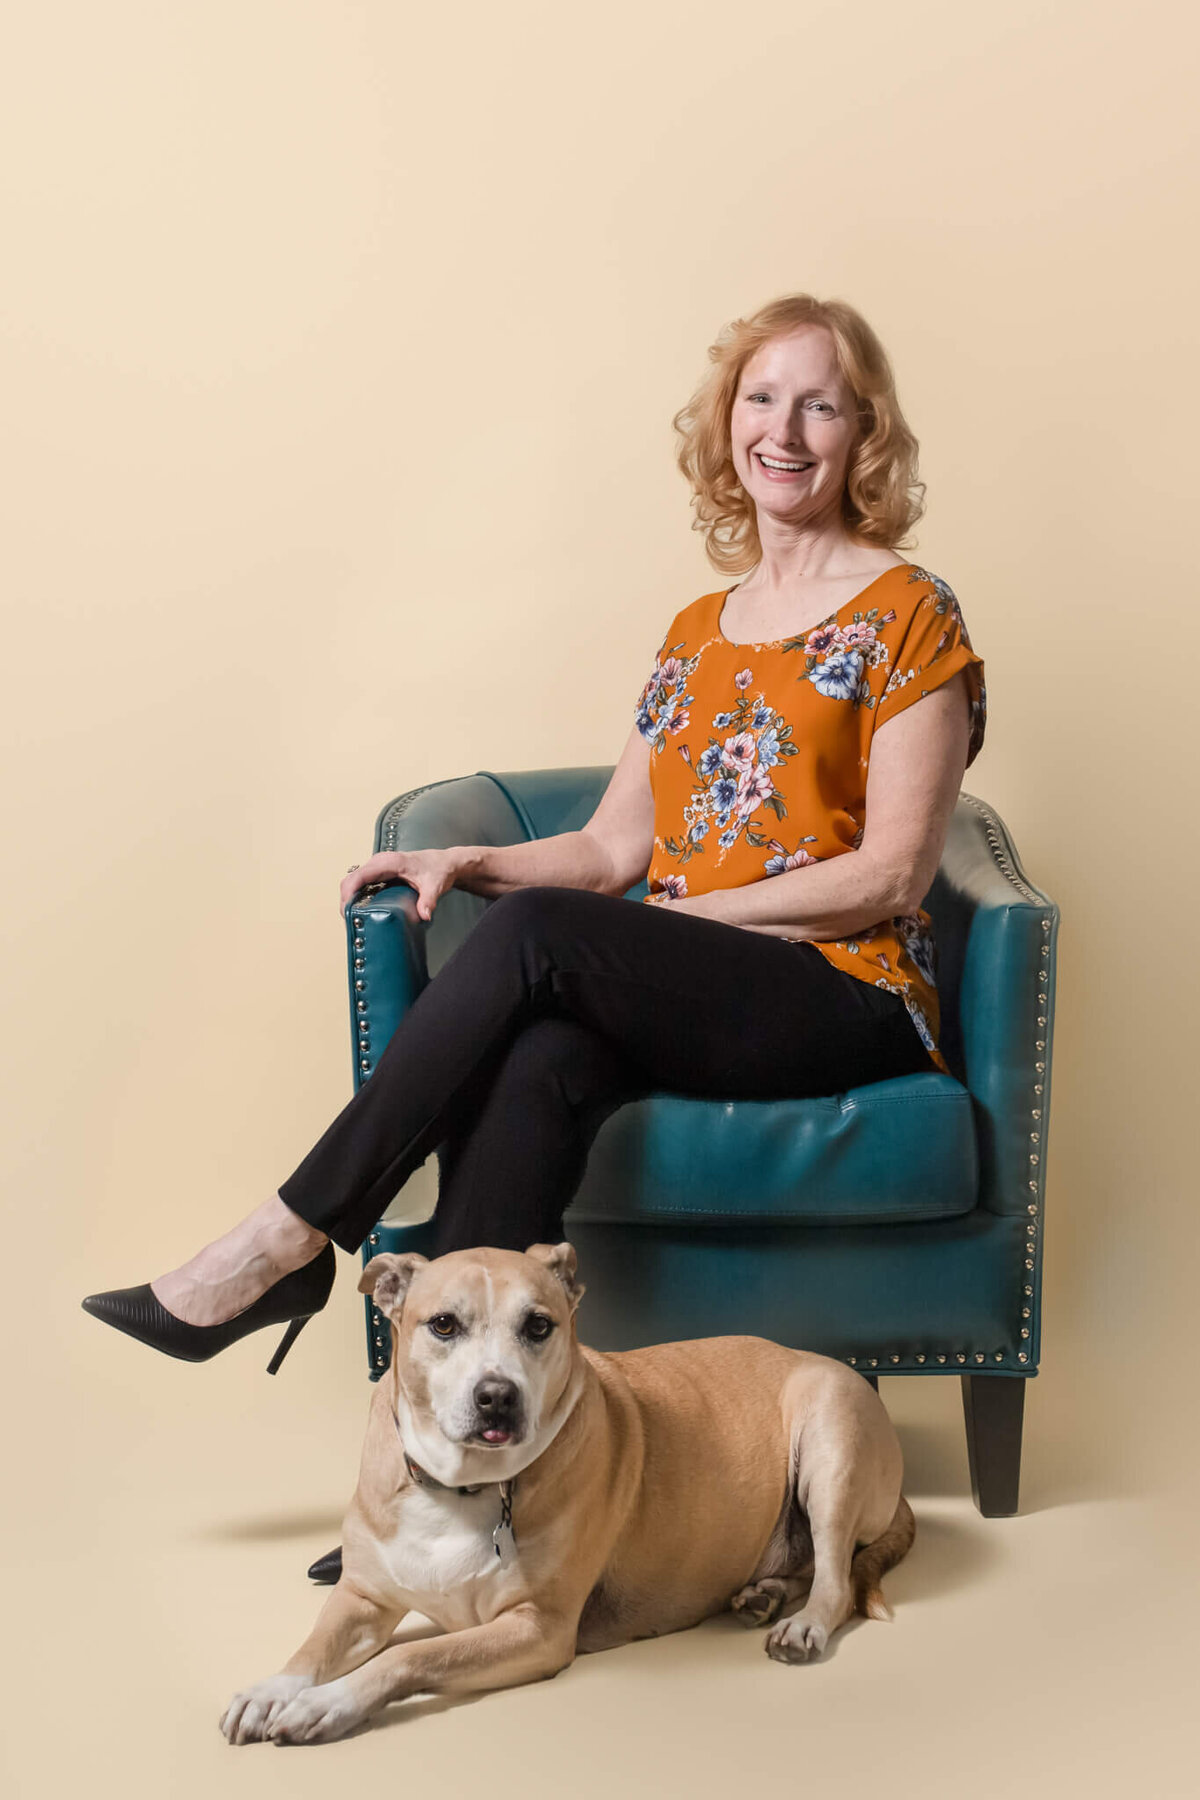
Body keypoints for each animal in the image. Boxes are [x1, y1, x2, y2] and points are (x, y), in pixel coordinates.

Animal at [218, 1238, 910, 1742]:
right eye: (442, 1325)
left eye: (538, 1326)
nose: (497, 1396)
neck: (462, 1487)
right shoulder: (362, 1597)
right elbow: (313, 1645)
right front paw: (269, 1691)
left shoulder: (537, 1629)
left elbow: (411, 1657)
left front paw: (324, 1704)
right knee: (812, 1564)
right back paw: (762, 1594)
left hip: (830, 1441)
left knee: (836, 1579)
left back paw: (801, 1623)